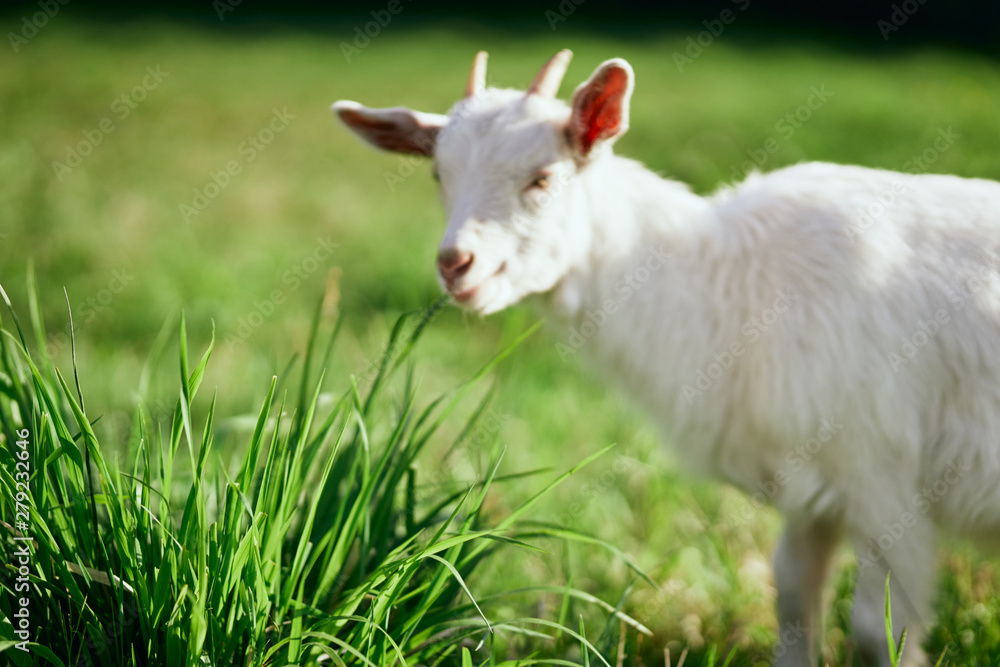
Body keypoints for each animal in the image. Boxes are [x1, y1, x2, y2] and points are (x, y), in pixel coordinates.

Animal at [336, 49, 1000, 664]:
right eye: (438, 174)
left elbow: (879, 629)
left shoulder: (883, 475)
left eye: (543, 177)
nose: (456, 265)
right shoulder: (813, 484)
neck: (736, 282)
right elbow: (793, 597)